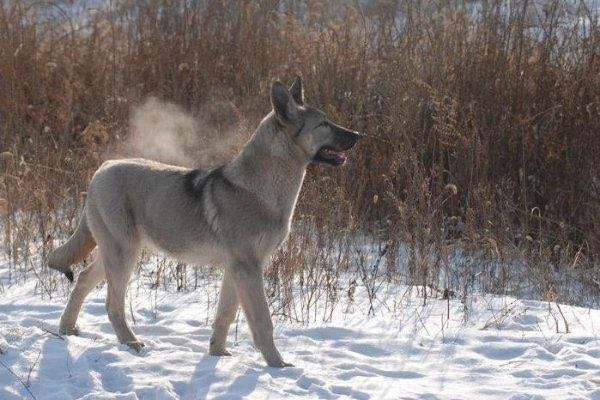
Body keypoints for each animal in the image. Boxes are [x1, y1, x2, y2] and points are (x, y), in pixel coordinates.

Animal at [49, 76, 358, 368]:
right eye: (324, 124)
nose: (357, 134)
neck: (261, 190)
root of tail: (101, 169)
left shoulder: (236, 271)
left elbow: (225, 316)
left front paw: (218, 353)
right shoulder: (248, 269)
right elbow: (262, 322)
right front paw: (277, 364)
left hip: (116, 253)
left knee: (83, 280)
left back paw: (67, 328)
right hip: (123, 255)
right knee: (112, 304)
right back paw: (130, 342)